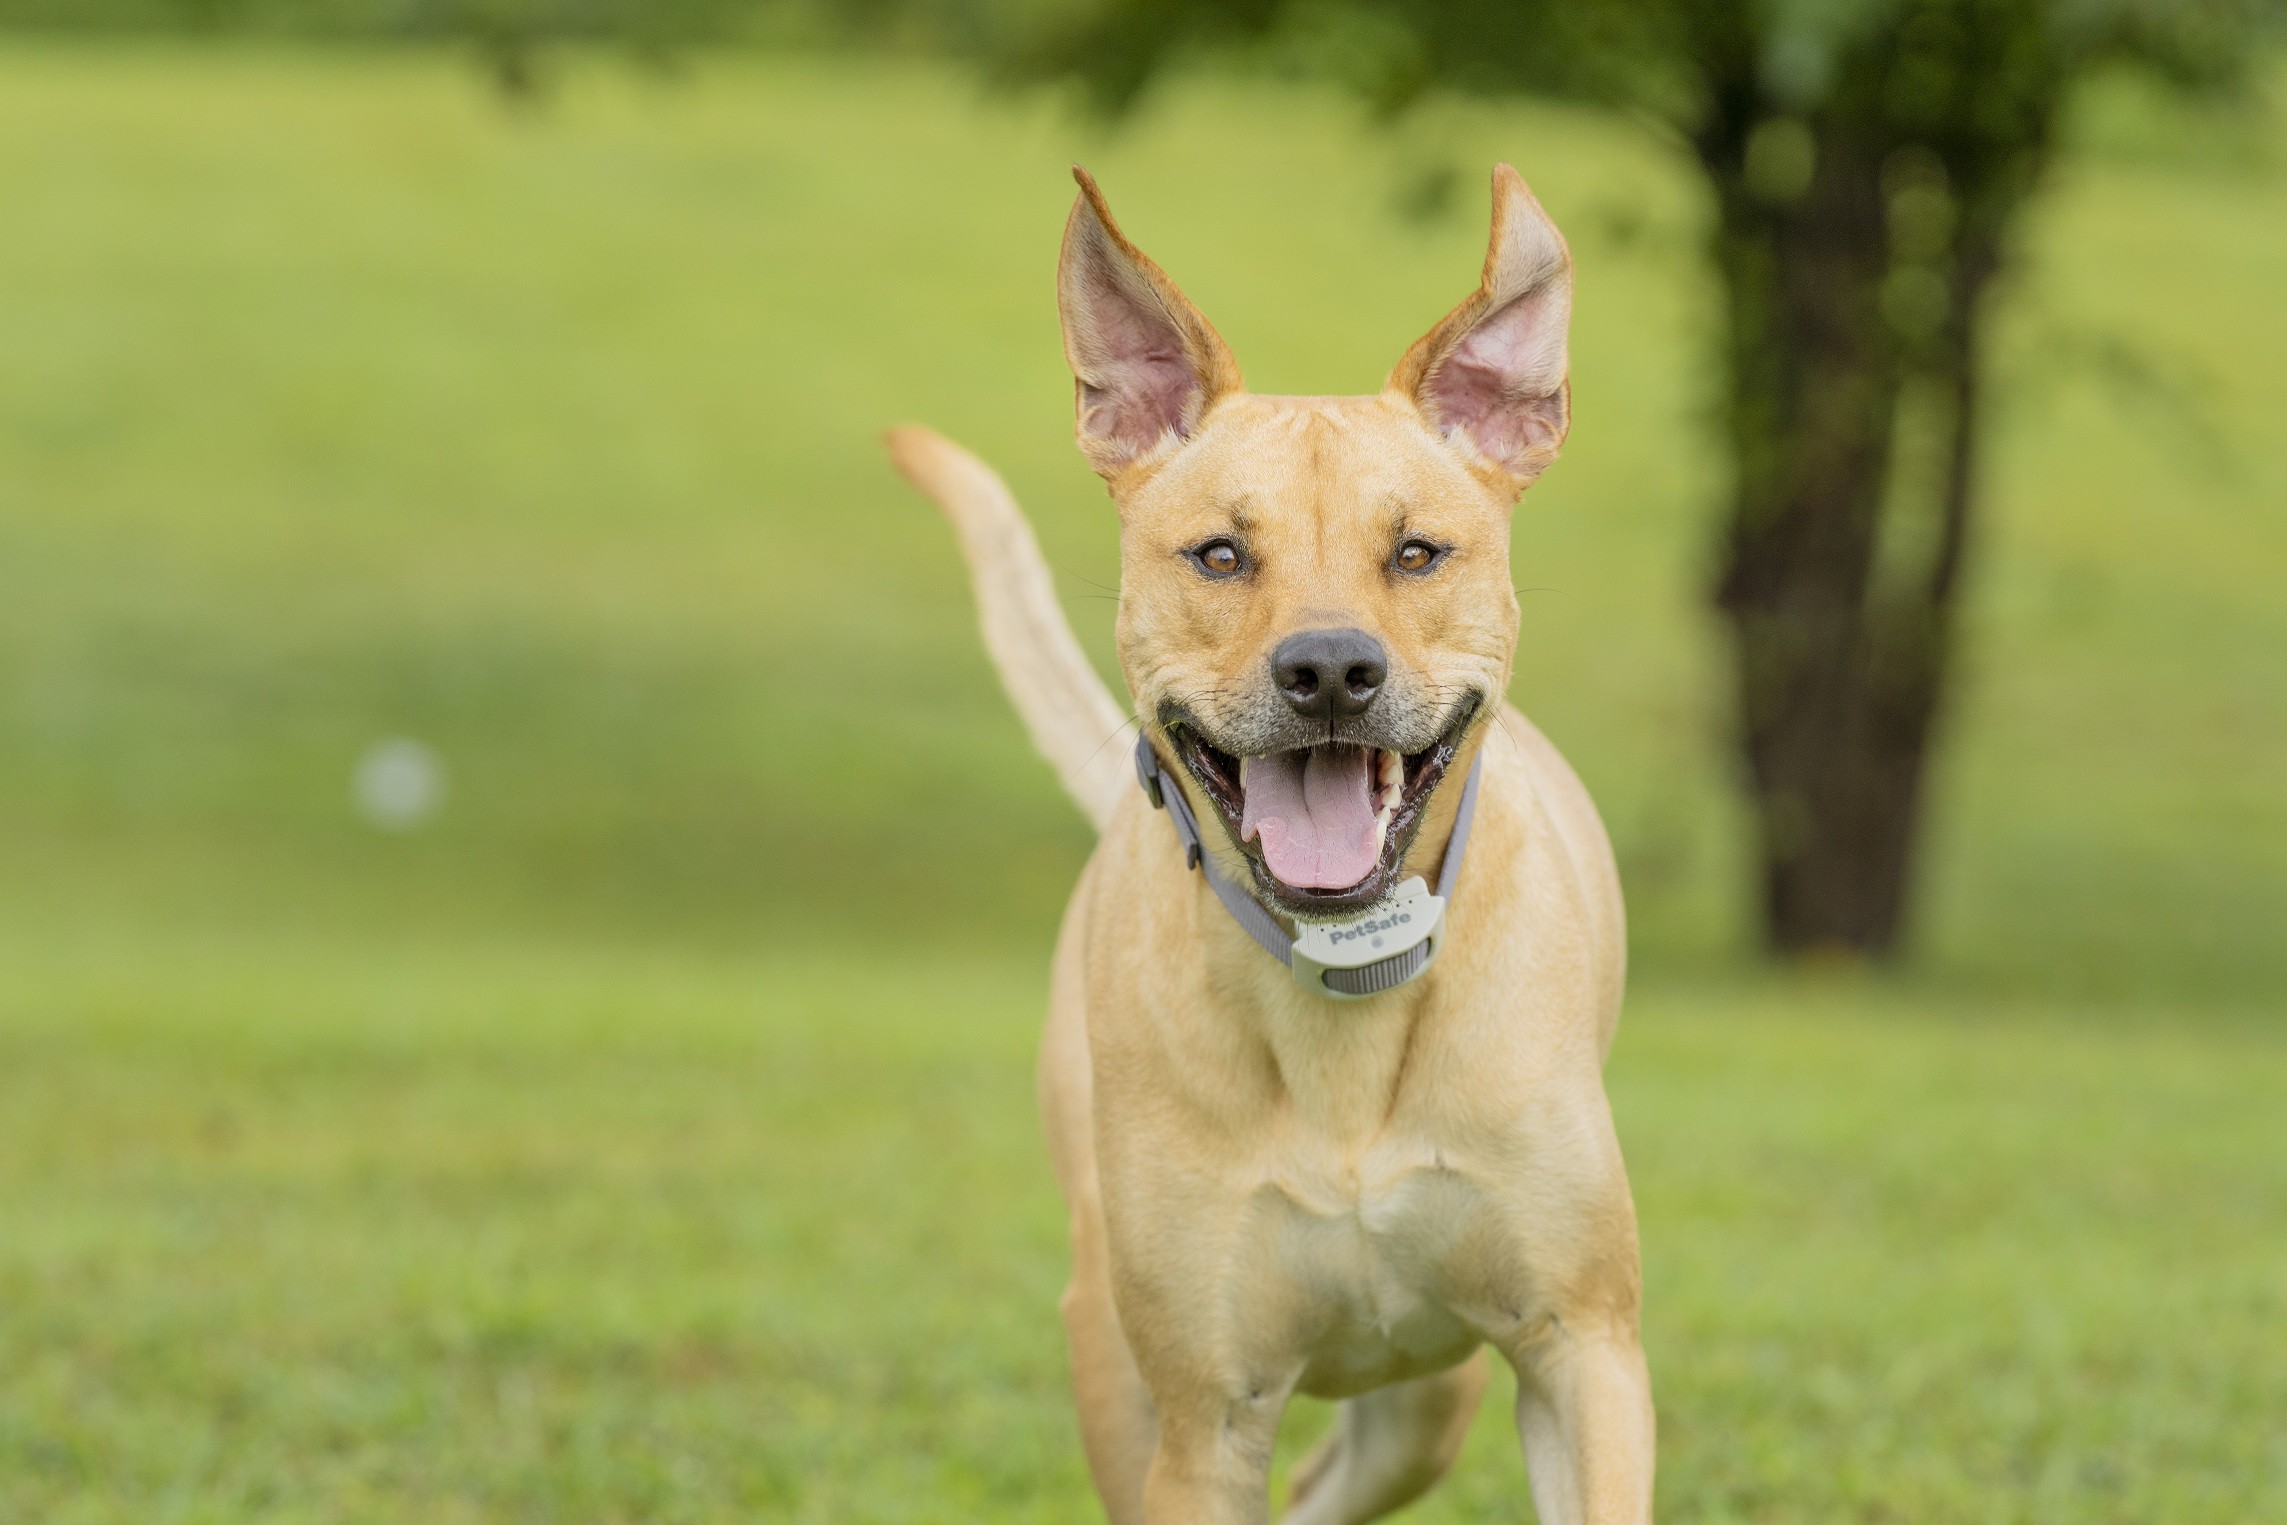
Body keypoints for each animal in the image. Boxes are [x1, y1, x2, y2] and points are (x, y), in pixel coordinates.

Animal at [882, 166, 1655, 1525]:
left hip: (1432, 1396)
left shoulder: (1584, 1347)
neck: (1343, 981)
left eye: (1416, 550)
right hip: (1116, 1347)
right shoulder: (1205, 1414)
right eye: (1221, 553)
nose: (1330, 669)